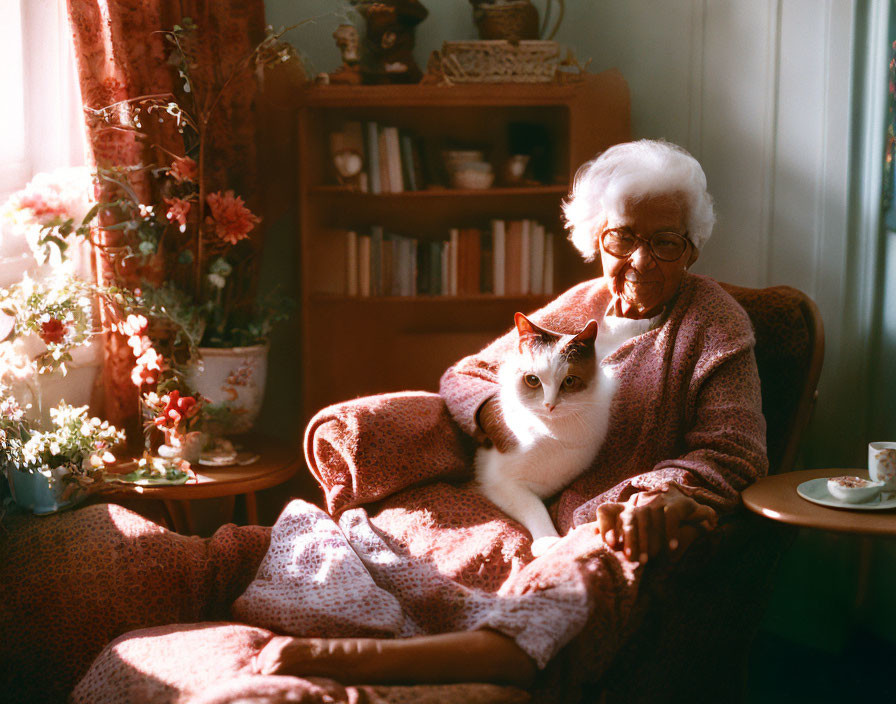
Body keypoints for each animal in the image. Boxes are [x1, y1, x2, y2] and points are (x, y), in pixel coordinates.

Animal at [476, 314, 616, 556]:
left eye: (569, 381)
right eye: (532, 380)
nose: (549, 404)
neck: (555, 434)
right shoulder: (499, 481)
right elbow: (534, 506)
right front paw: (548, 541)